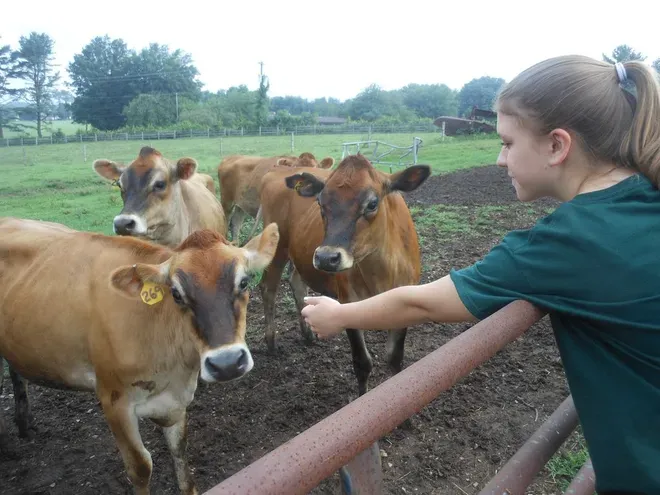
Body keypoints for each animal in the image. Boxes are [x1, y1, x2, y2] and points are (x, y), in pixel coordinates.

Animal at [0, 217, 278, 495]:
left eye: (244, 282)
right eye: (176, 294)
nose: (227, 363)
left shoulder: (176, 399)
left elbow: (180, 449)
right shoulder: (113, 401)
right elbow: (141, 466)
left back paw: (24, 422)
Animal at [258, 154, 428, 396]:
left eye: (372, 203)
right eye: (320, 203)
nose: (326, 257)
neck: (381, 273)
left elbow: (395, 359)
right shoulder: (347, 301)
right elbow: (362, 362)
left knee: (296, 282)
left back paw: (307, 334)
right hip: (277, 245)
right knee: (268, 288)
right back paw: (271, 341)